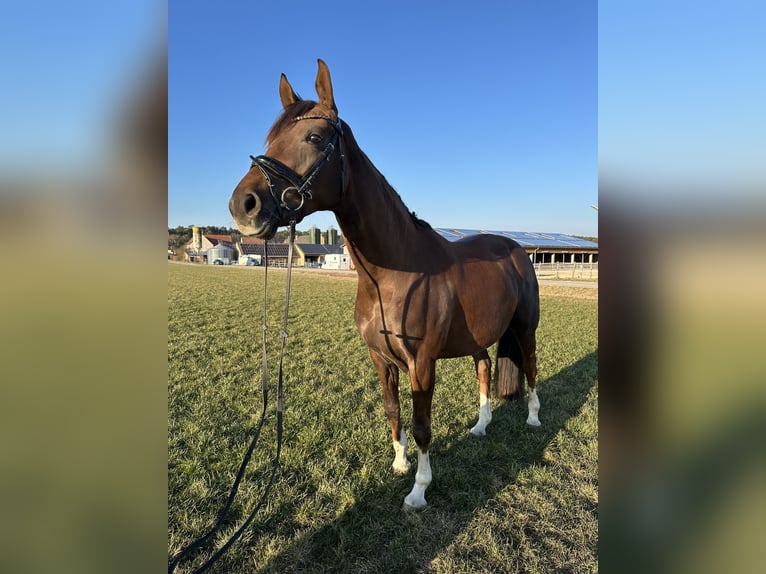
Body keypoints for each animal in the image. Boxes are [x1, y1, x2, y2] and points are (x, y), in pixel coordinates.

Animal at [229, 59, 541, 509]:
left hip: (525, 328)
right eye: (270, 139)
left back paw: (533, 418)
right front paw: (399, 464)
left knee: (530, 368)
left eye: (314, 137)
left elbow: (423, 424)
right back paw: (481, 426)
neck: (394, 276)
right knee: (484, 369)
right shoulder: (380, 358)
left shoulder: (422, 364)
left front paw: (419, 490)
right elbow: (393, 411)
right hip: (479, 337)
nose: (243, 205)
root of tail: (517, 250)